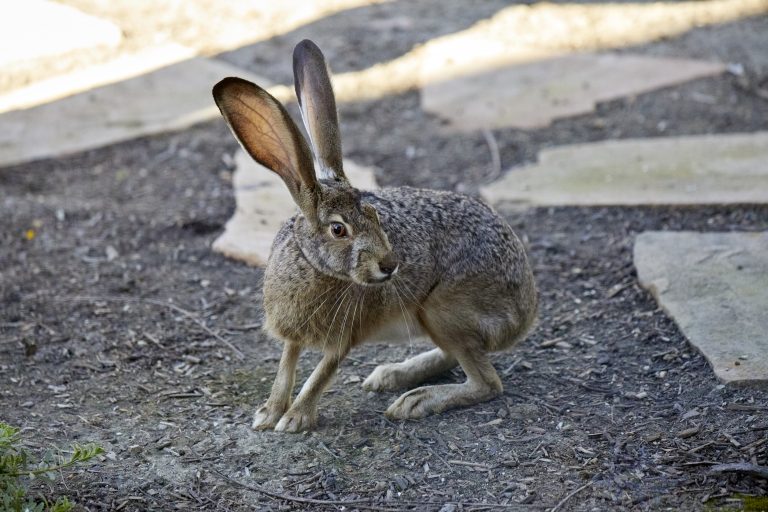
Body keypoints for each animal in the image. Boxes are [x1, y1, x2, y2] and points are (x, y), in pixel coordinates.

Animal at [212, 39, 537, 433]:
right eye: (339, 229)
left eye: (375, 215)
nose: (390, 265)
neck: (314, 265)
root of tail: (525, 313)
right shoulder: (293, 333)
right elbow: (285, 367)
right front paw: (268, 414)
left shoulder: (344, 335)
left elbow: (321, 374)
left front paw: (294, 419)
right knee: (456, 357)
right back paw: (391, 375)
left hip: (443, 310)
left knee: (486, 382)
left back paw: (414, 401)